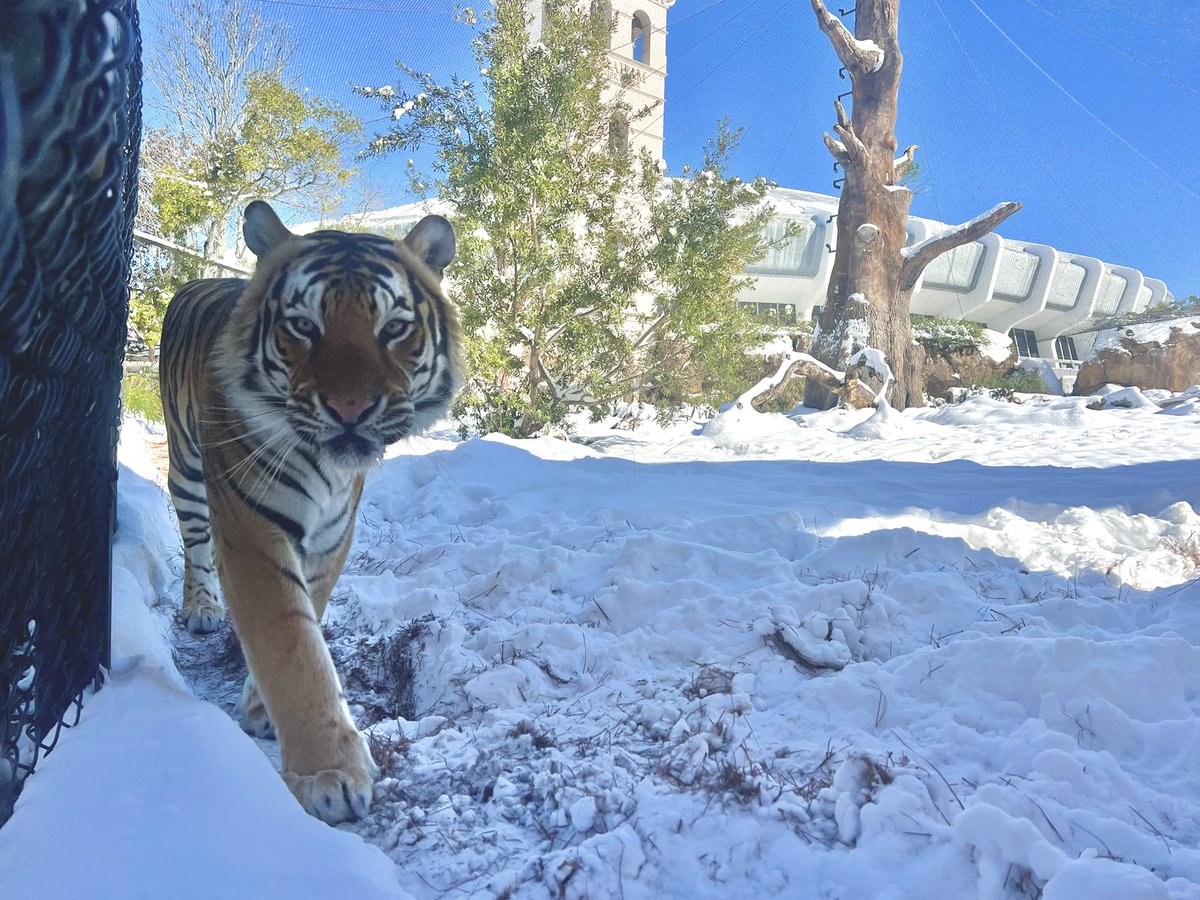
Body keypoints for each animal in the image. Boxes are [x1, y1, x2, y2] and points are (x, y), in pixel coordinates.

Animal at [158, 200, 462, 824]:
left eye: (393, 328)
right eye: (303, 326)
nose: (351, 409)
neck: (327, 468)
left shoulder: (329, 537)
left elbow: (308, 619)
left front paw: (261, 708)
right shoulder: (251, 531)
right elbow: (291, 646)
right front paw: (330, 774)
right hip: (187, 469)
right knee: (195, 544)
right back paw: (201, 608)